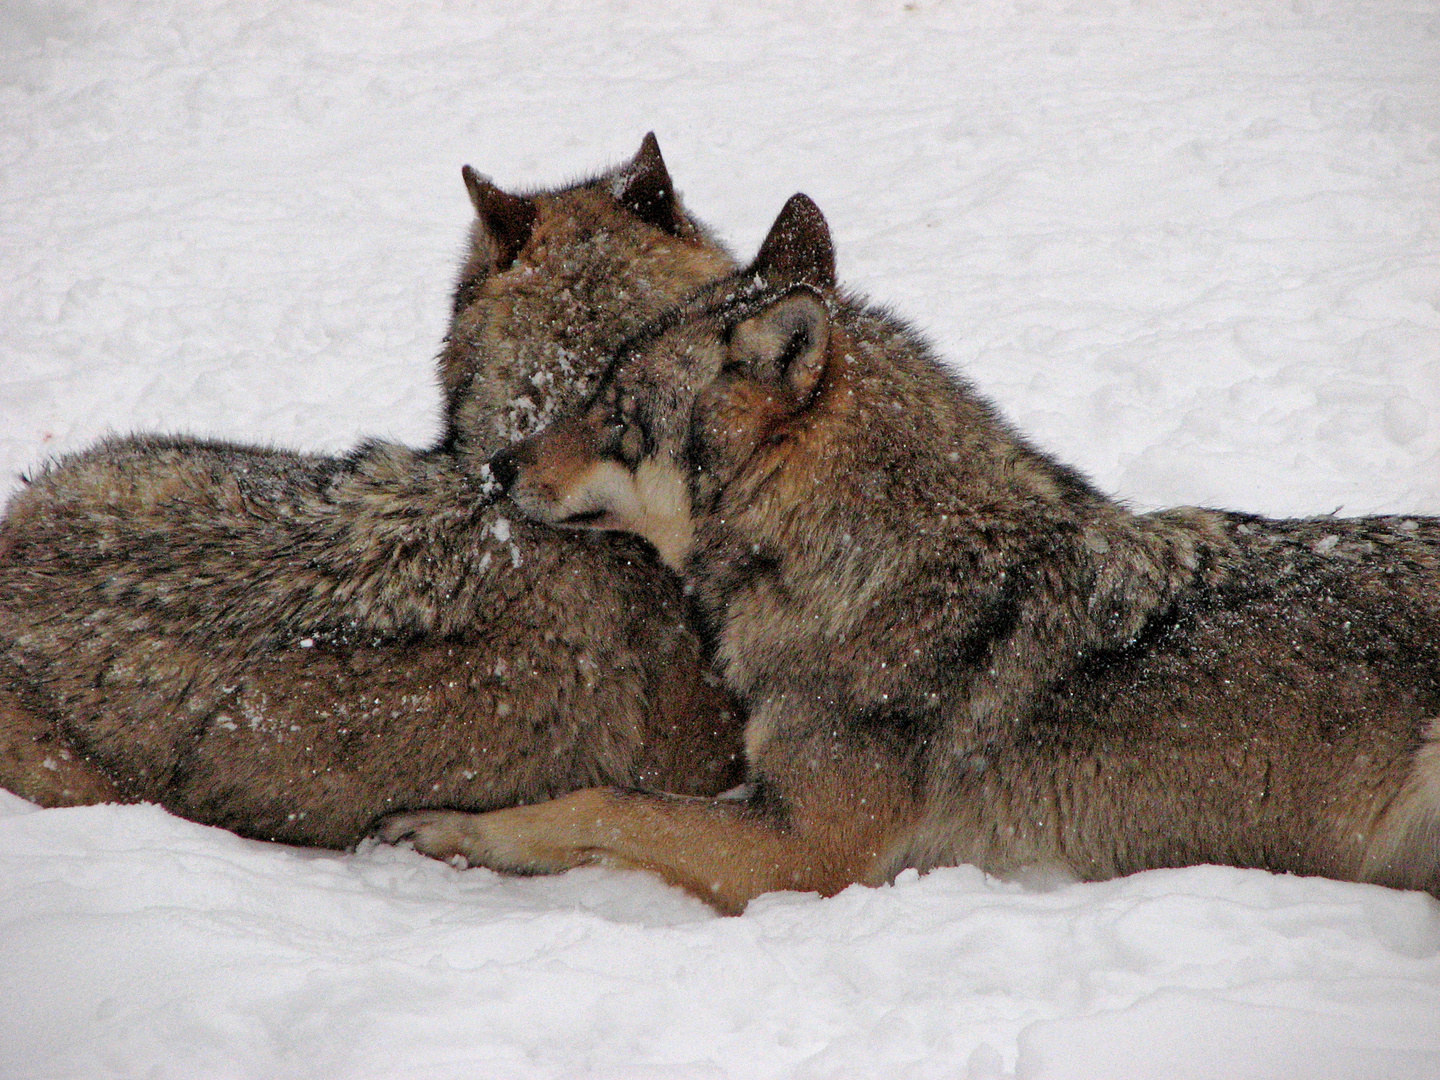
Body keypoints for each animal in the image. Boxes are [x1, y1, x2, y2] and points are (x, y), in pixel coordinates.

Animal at [380, 192, 1440, 915]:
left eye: (617, 415)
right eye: (592, 387)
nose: (498, 468)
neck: (865, 572)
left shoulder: (799, 855)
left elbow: (599, 803)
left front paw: (452, 829)